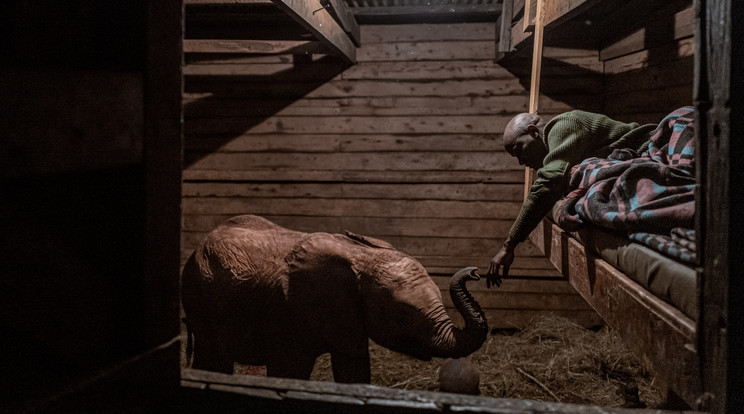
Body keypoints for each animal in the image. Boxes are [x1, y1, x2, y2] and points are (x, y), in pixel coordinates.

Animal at [182, 215, 488, 384]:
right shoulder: (289, 311)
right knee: (213, 358)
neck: (362, 256)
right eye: (403, 315)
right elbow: (290, 372)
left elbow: (353, 371)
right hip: (199, 298)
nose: (475, 272)